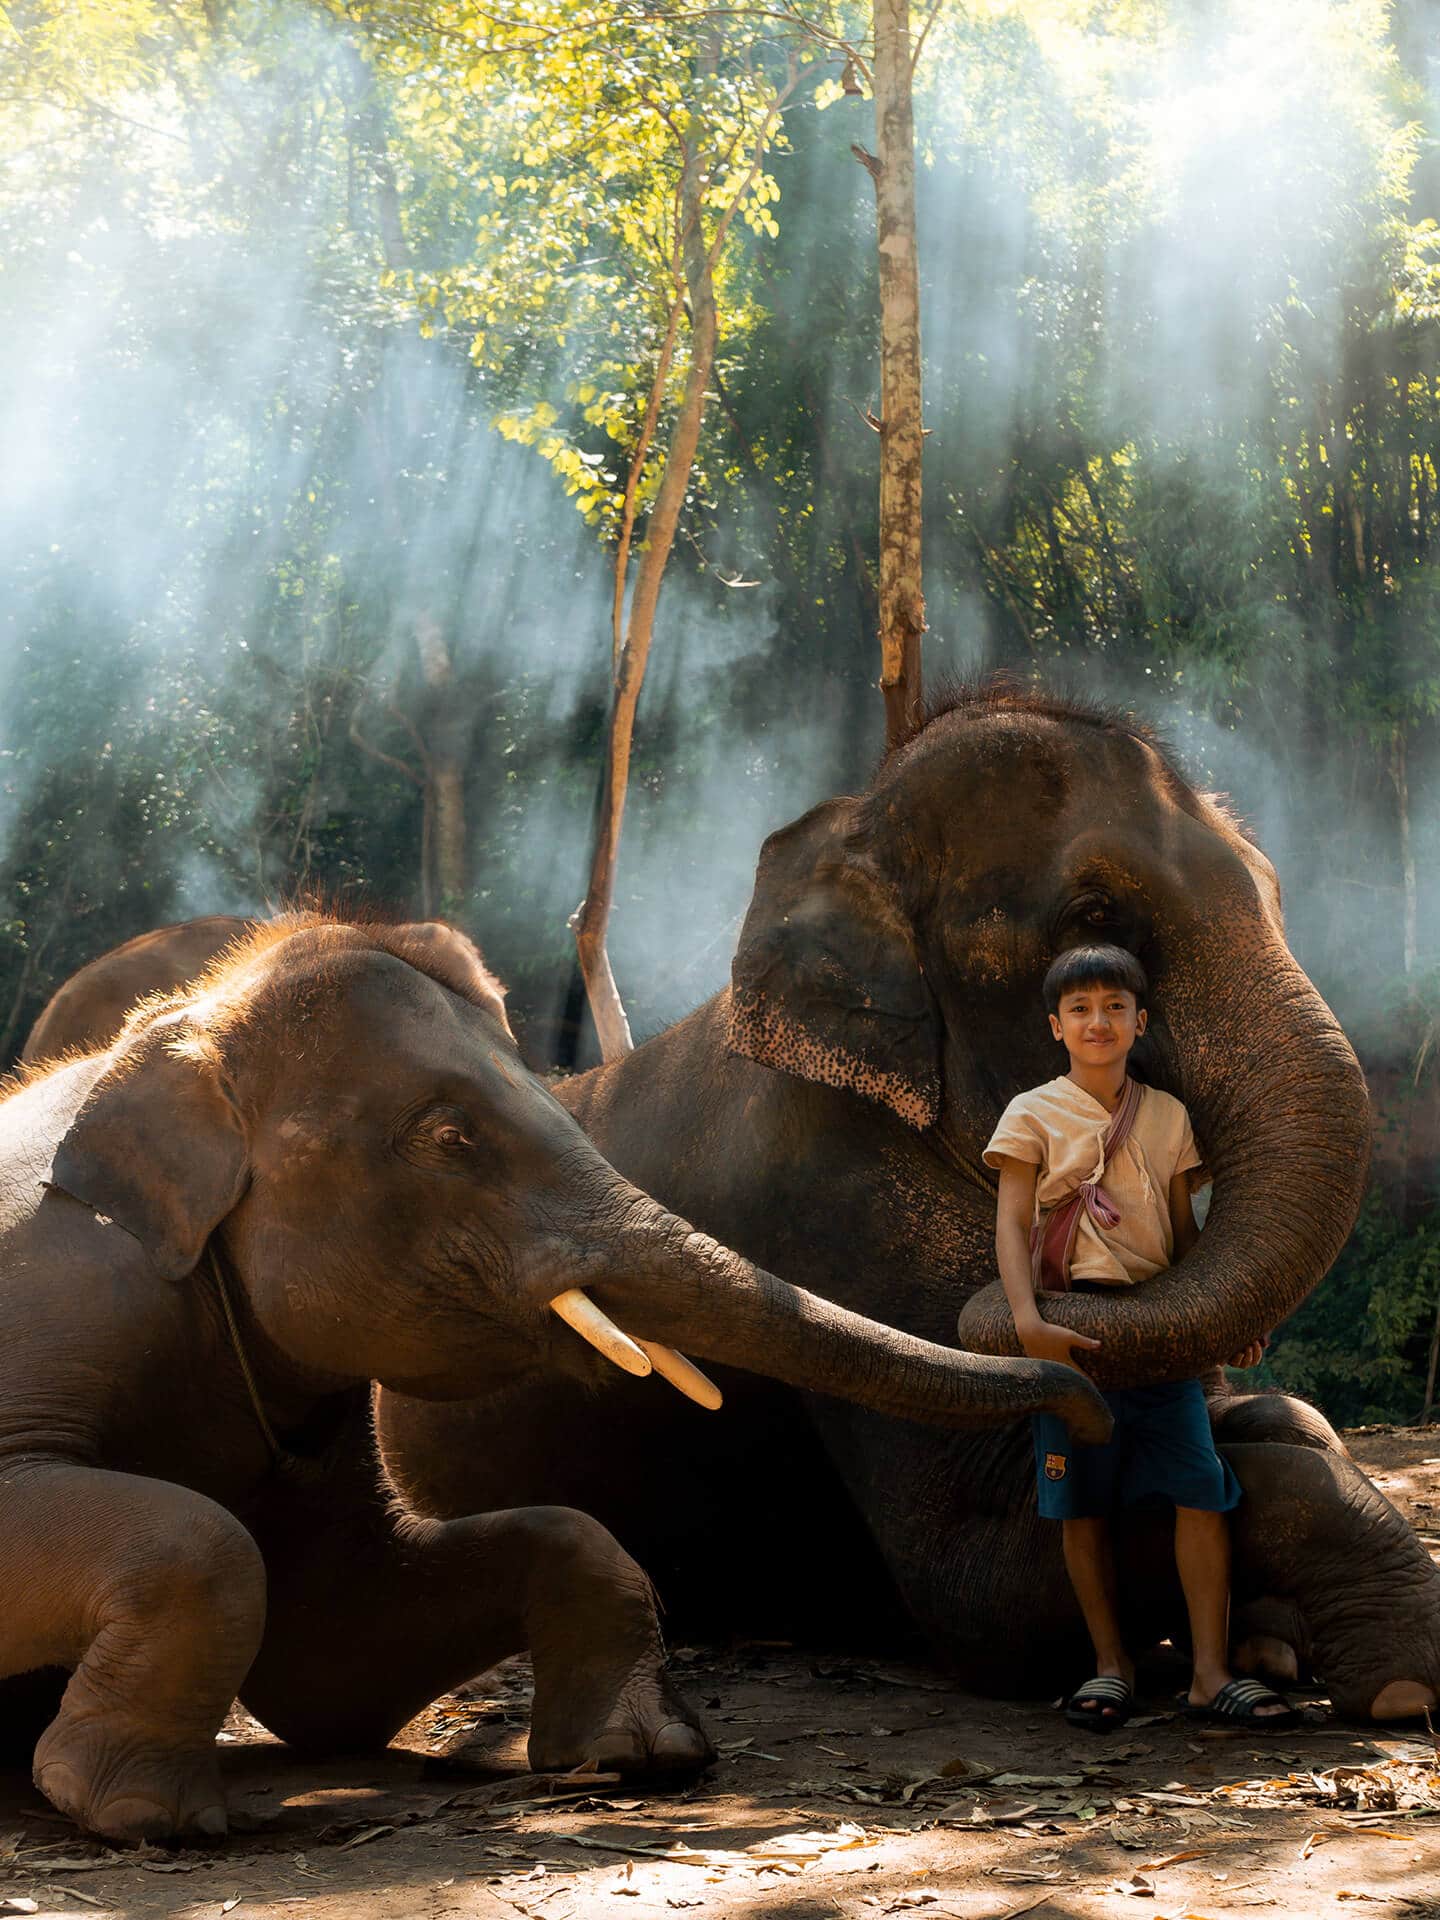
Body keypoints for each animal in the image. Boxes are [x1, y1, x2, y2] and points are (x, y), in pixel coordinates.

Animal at [0, 908, 1106, 1846]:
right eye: (451, 1138)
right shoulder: (70, 1290)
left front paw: (643, 1755)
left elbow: (341, 1655)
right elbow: (202, 1543)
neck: (183, 1030)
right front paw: (147, 1815)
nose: (1092, 1404)